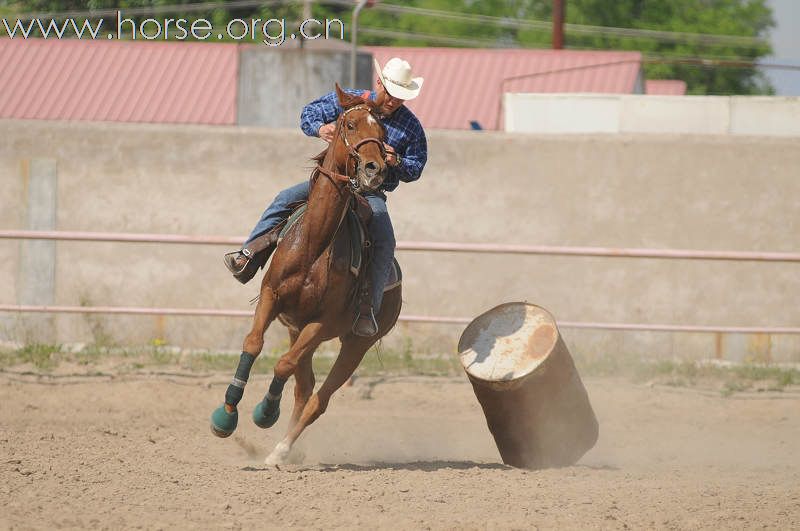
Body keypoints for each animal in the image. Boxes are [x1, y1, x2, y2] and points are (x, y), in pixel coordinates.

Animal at [211, 84, 404, 466]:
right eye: (348, 124)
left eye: (384, 132)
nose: (374, 169)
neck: (314, 244)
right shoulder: (271, 297)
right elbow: (253, 344)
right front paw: (226, 416)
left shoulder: (321, 324)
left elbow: (283, 365)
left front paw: (264, 413)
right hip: (296, 329)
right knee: (305, 388)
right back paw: (280, 449)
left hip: (354, 344)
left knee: (318, 398)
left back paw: (281, 450)